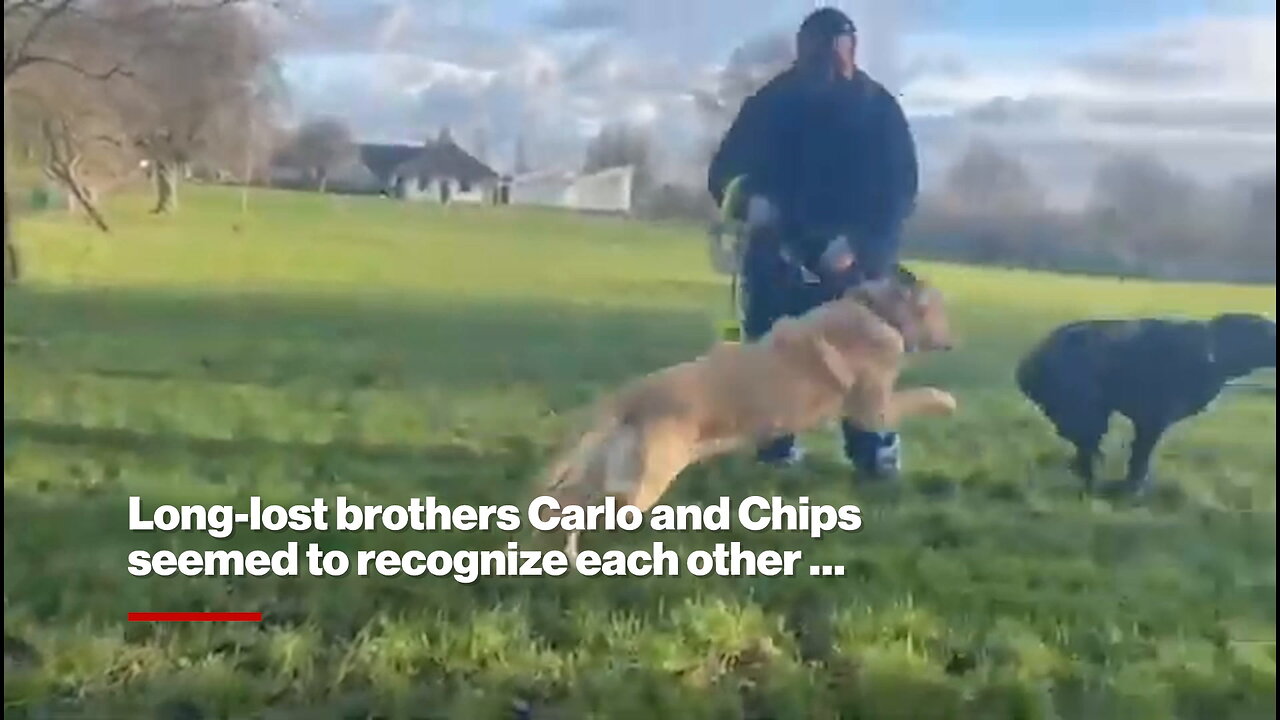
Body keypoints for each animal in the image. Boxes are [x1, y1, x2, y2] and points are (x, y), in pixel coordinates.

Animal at [535, 266, 957, 558]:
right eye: (940, 309)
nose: (956, 340)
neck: (878, 311)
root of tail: (630, 394)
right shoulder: (874, 412)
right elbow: (920, 395)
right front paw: (947, 401)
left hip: (613, 478)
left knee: (561, 502)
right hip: (637, 491)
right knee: (568, 504)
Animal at [1013, 311, 1274, 489]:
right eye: (1267, 333)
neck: (1212, 350)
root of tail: (1029, 362)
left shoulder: (1146, 420)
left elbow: (1138, 453)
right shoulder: (1153, 417)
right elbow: (1141, 454)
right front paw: (1134, 487)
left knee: (1085, 447)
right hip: (1087, 412)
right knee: (1089, 446)